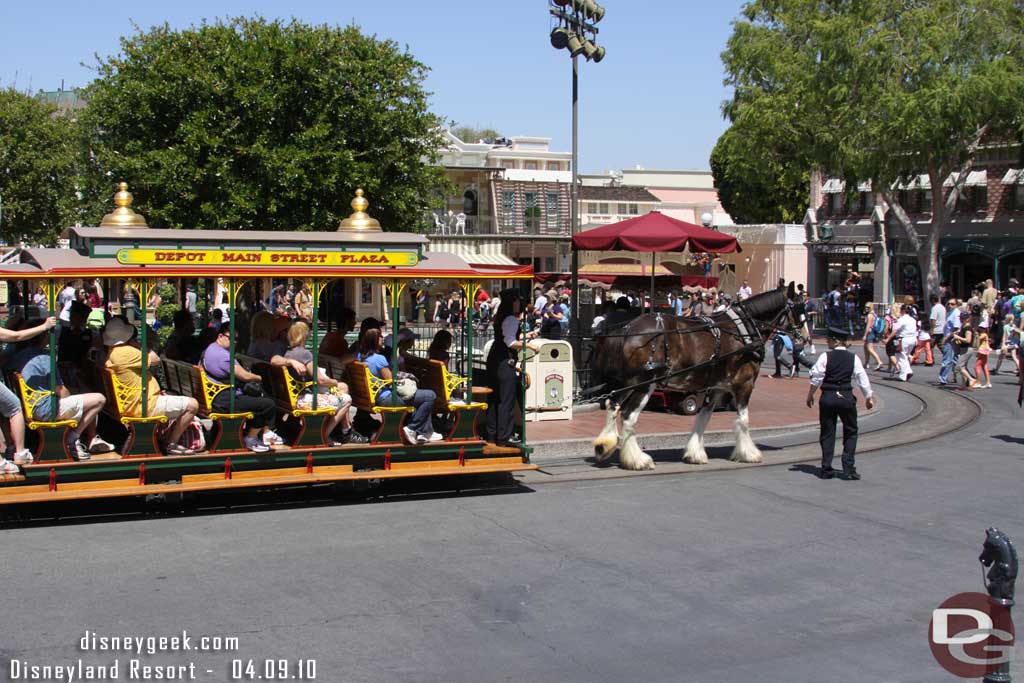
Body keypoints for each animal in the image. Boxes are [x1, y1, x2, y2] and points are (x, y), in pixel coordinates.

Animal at [593, 288, 806, 471]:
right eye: (800, 308)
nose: (805, 338)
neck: (744, 330)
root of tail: (628, 329)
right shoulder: (744, 383)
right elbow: (744, 420)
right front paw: (749, 453)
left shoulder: (717, 387)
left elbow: (703, 417)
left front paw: (694, 454)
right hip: (645, 383)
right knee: (629, 416)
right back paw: (638, 460)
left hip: (628, 383)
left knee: (613, 406)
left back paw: (604, 447)